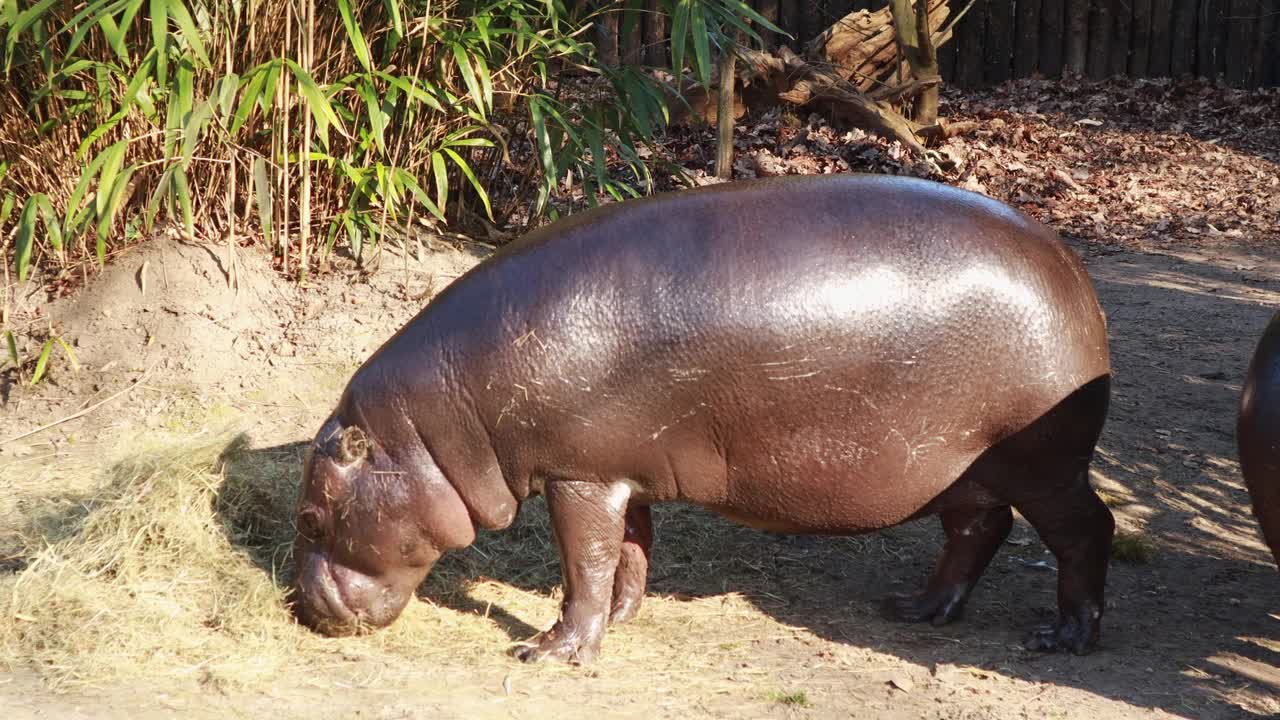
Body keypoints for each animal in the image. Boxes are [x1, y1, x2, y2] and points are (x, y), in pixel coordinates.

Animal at [294, 174, 1116, 661]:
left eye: (310, 516)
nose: (303, 608)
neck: (432, 429)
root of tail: (1070, 267)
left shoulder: (576, 476)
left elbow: (584, 562)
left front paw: (548, 652)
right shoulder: (618, 472)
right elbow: (627, 553)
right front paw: (621, 620)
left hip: (1044, 463)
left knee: (1085, 528)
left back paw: (1065, 636)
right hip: (958, 465)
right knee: (979, 528)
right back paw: (917, 609)